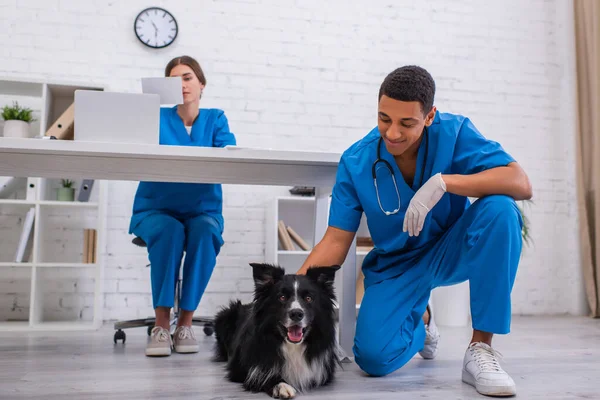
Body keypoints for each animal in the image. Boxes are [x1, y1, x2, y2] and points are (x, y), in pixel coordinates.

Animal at [213, 264, 340, 398]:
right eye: (282, 297)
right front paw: (281, 385)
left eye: (308, 298)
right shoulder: (239, 368)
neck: (292, 346)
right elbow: (259, 374)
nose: (296, 314)